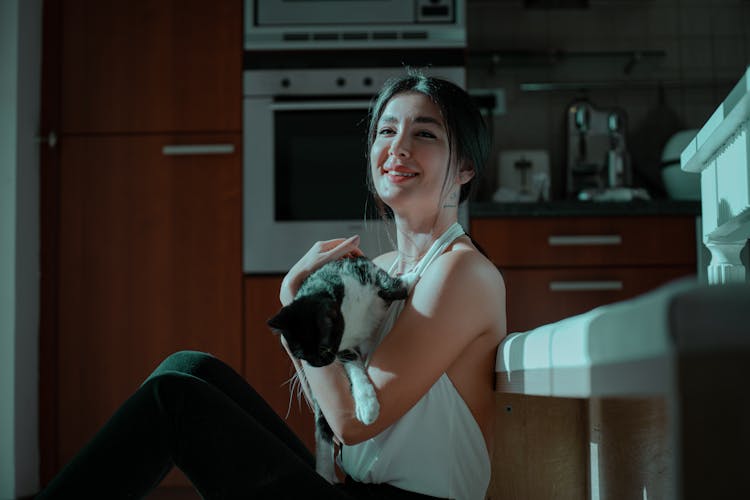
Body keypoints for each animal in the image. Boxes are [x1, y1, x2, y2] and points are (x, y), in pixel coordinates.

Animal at [268, 256, 414, 482]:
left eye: (323, 347)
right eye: (300, 354)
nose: (318, 364)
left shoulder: (362, 267)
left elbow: (387, 283)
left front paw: (409, 279)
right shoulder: (345, 348)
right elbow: (353, 365)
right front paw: (367, 404)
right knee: (322, 428)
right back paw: (325, 473)